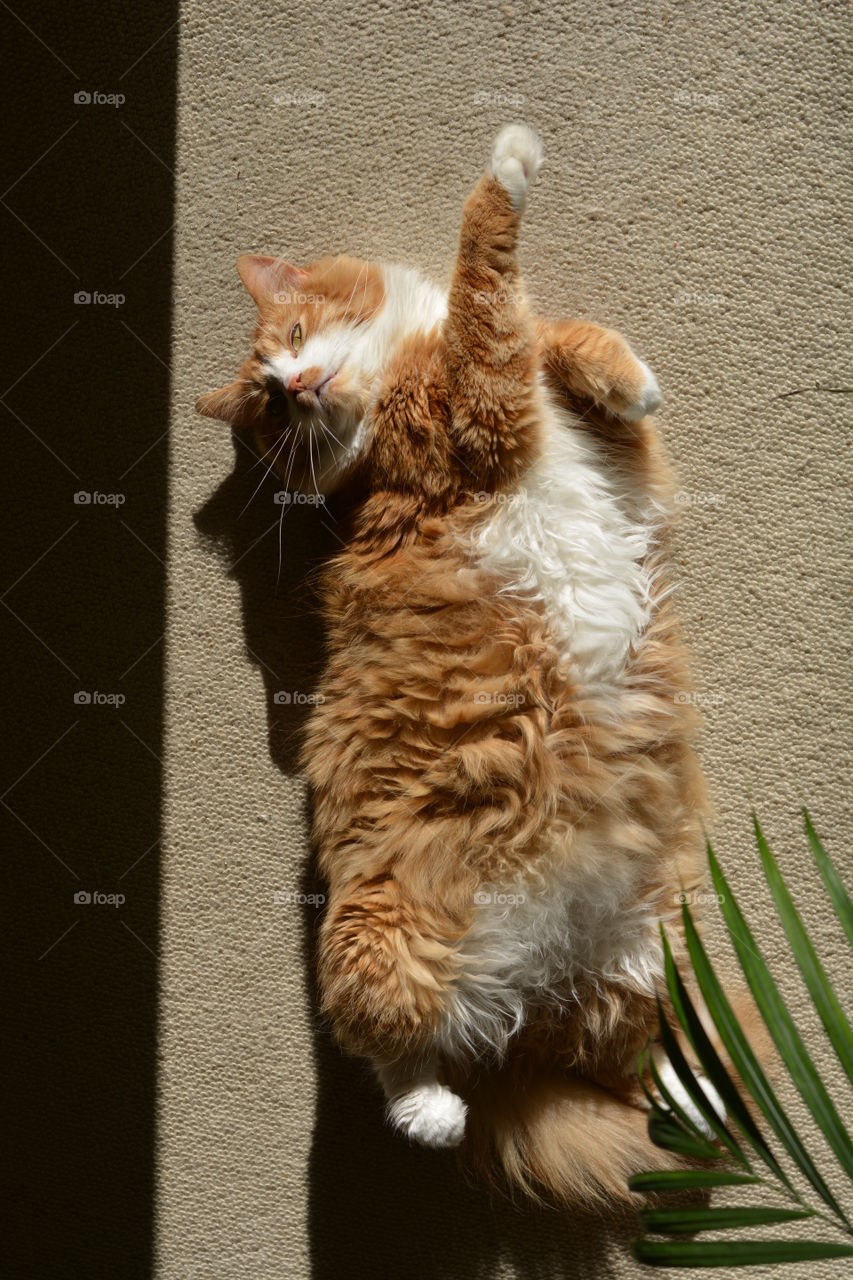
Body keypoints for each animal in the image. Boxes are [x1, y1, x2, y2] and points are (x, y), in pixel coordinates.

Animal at [195, 124, 722, 1203]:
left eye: (293, 335)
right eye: (269, 407)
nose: (296, 385)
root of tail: (528, 997)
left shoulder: (610, 456)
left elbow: (564, 339)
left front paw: (626, 371)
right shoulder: (479, 409)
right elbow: (487, 269)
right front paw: (509, 161)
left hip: (642, 953)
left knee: (633, 1061)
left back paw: (696, 1104)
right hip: (375, 938)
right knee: (389, 1057)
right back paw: (436, 1114)